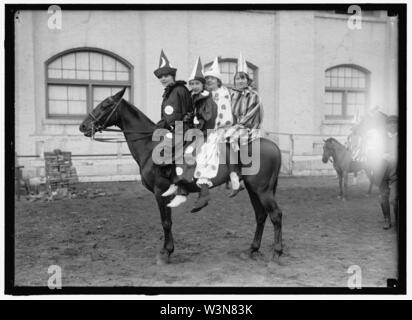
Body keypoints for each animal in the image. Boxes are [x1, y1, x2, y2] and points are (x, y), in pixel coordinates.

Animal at [78, 87, 284, 264]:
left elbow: (166, 222)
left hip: (262, 190)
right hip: (253, 189)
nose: (83, 126)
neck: (151, 146)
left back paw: (277, 253)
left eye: (105, 105)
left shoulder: (160, 191)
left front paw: (165, 253)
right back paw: (252, 250)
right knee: (260, 216)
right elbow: (167, 221)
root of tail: (274, 147)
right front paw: (167, 250)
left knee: (275, 215)